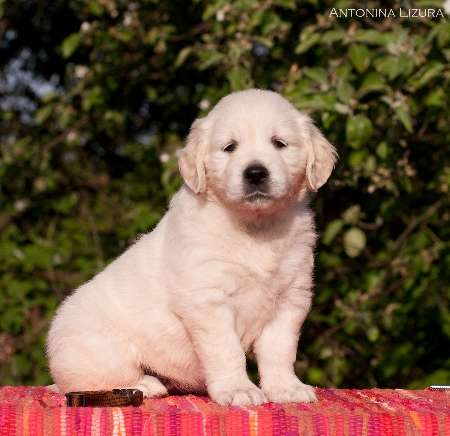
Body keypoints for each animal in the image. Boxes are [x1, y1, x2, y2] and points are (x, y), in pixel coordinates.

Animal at [45, 88, 336, 406]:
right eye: (230, 147)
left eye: (279, 143)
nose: (255, 173)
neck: (255, 227)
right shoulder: (208, 299)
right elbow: (227, 350)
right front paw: (238, 389)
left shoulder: (290, 298)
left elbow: (280, 350)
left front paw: (286, 387)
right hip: (100, 350)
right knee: (92, 379)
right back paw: (145, 384)